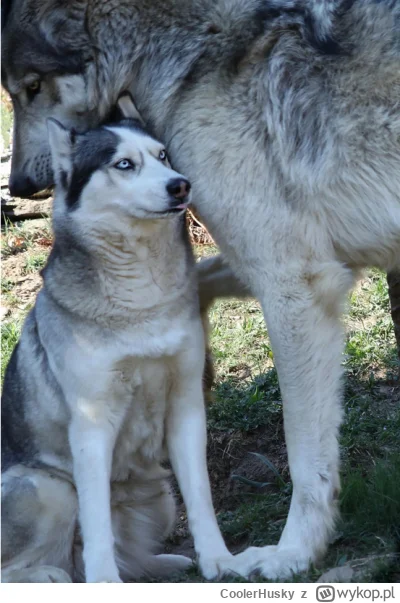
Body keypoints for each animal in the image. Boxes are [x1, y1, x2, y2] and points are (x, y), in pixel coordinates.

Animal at [1, 96, 236, 584]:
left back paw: (163, 564)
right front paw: (104, 582)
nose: (180, 185)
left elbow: (201, 496)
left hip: (161, 498)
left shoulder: (186, 404)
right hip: (49, 487)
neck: (140, 300)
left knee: (128, 553)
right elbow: (96, 524)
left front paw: (219, 560)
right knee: (32, 563)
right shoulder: (92, 424)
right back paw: (53, 577)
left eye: (163, 155)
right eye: (124, 164)